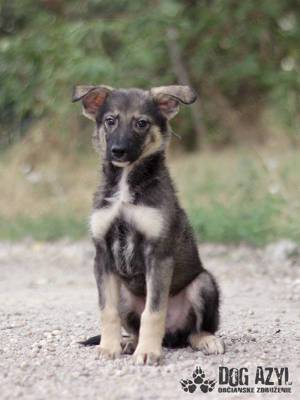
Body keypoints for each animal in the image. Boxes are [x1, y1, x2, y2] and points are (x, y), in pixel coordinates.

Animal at [72, 85, 223, 366]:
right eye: (110, 121)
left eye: (141, 123)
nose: (117, 151)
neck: (124, 182)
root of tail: (172, 337)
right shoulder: (103, 255)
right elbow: (107, 310)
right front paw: (109, 347)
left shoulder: (158, 254)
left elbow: (153, 312)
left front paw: (148, 352)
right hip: (123, 293)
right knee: (132, 327)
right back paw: (128, 343)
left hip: (204, 283)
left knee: (195, 331)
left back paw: (205, 340)